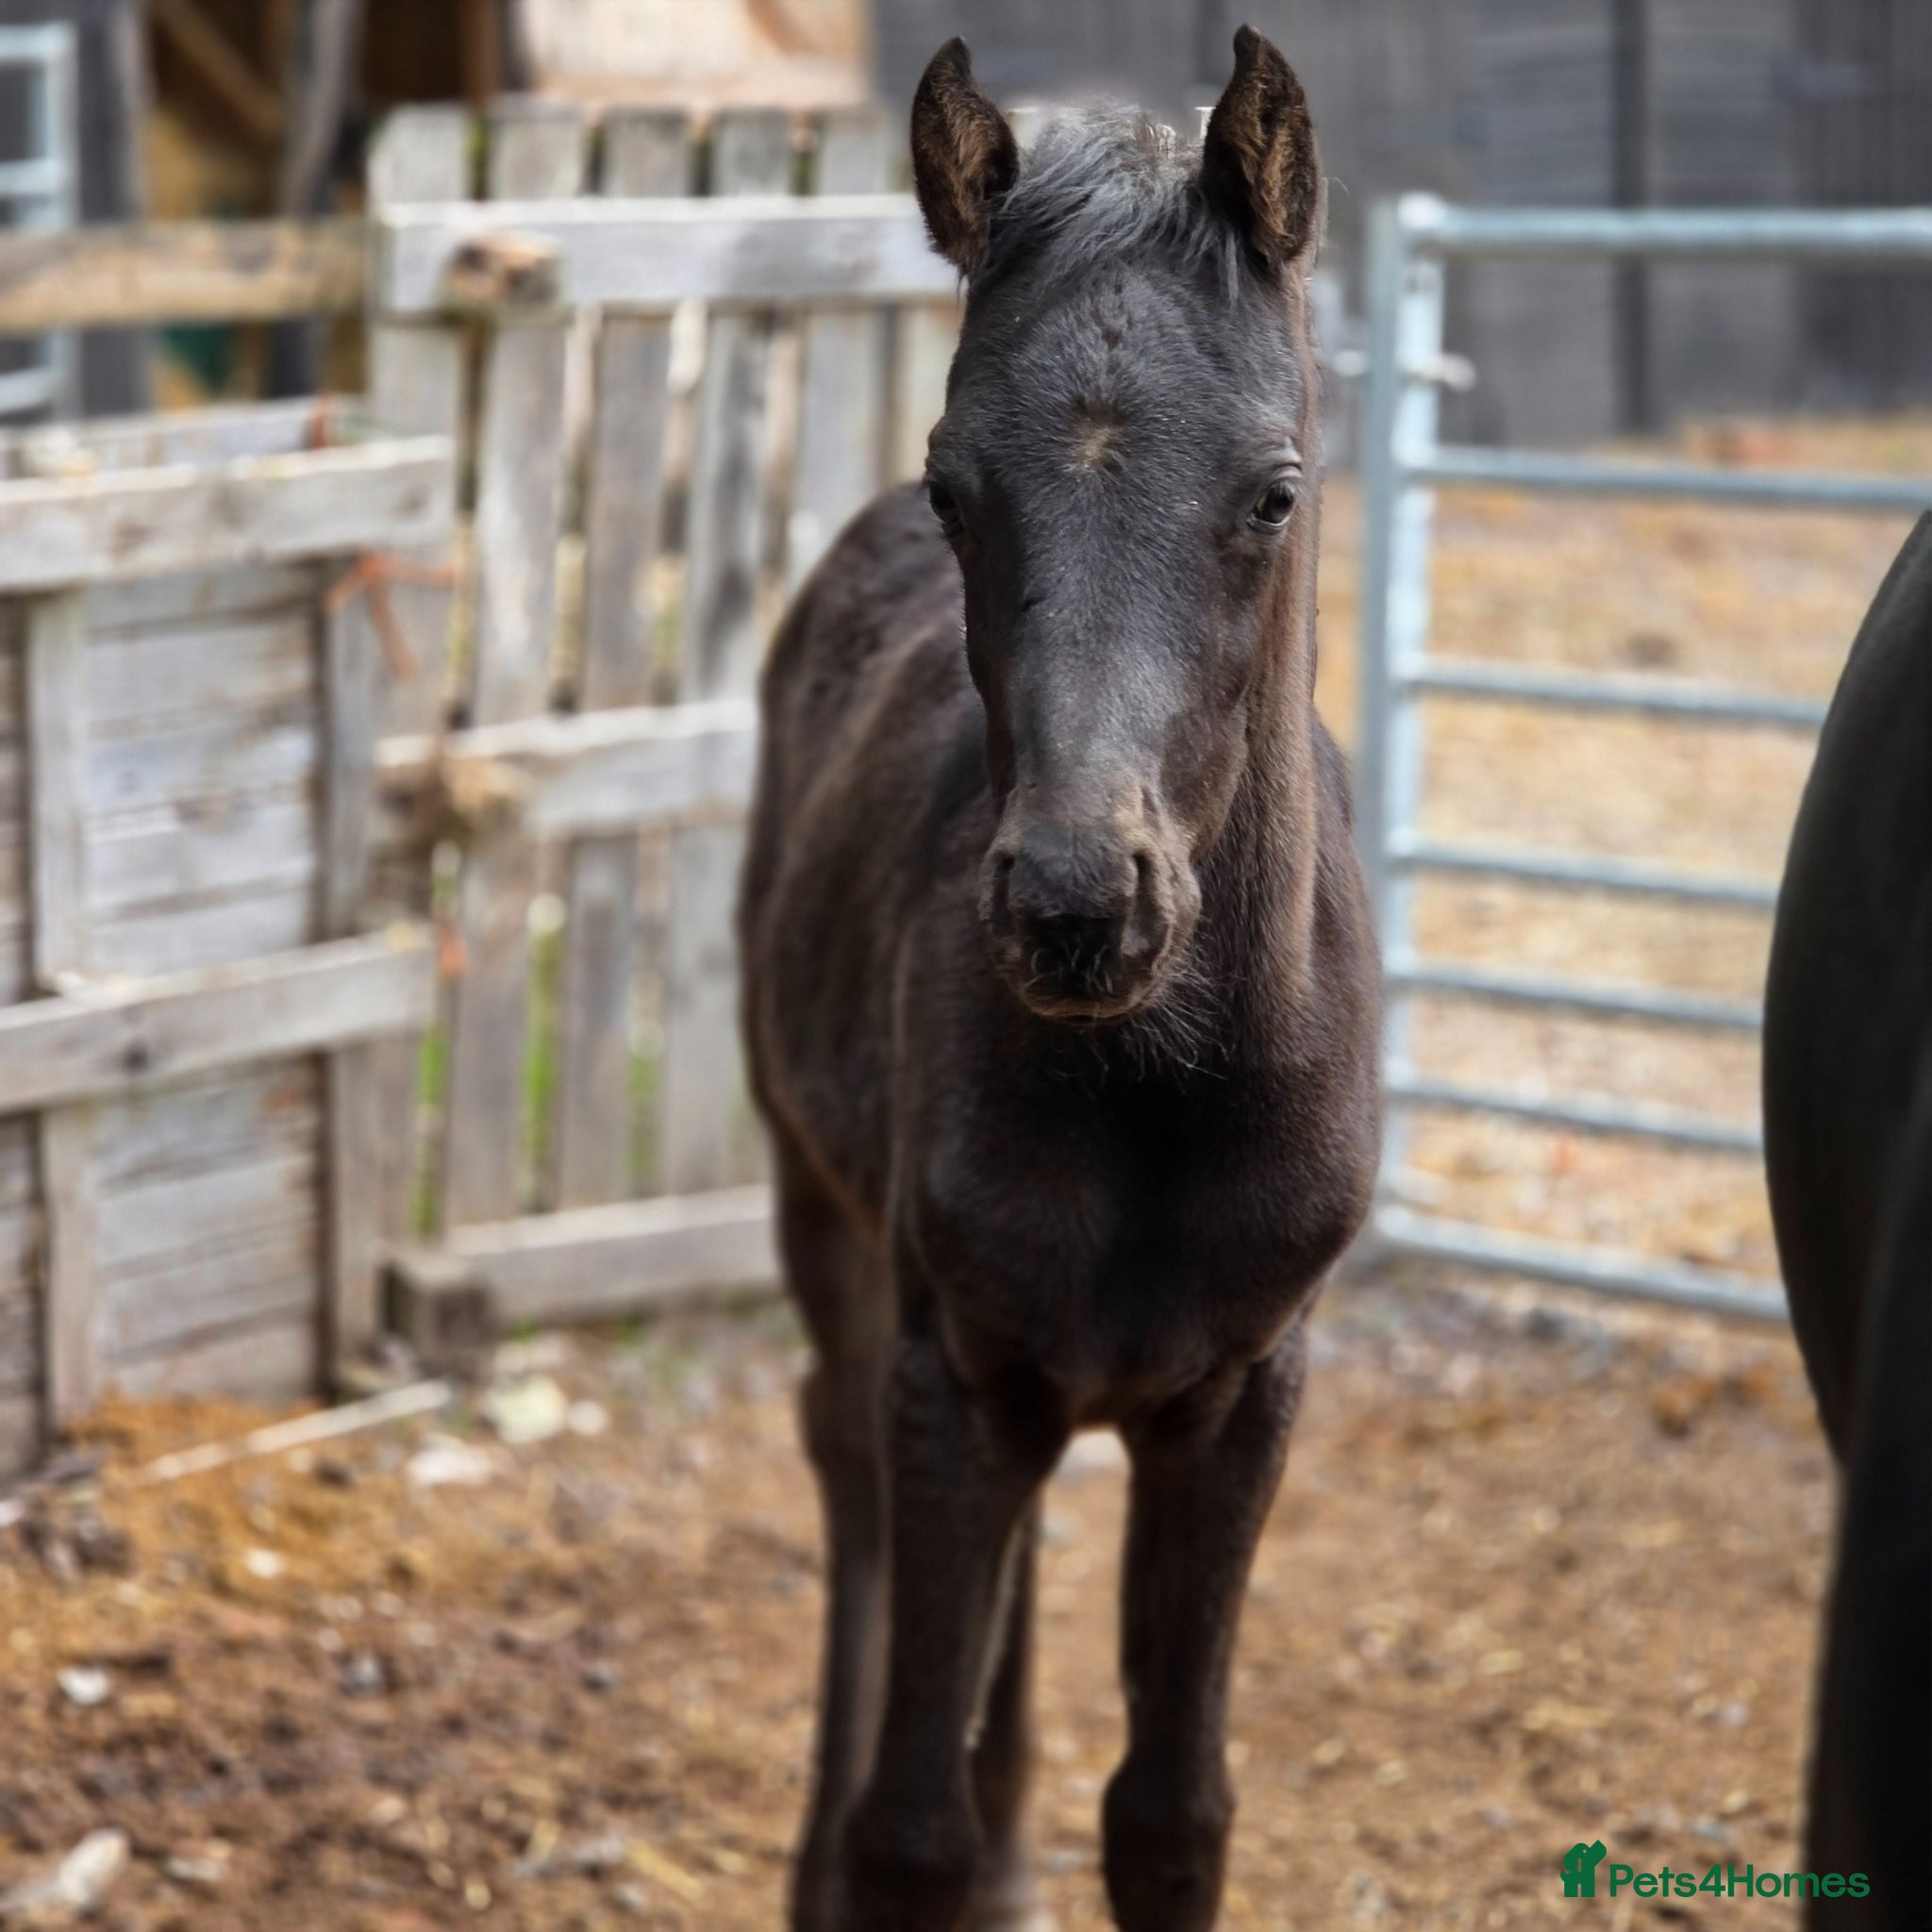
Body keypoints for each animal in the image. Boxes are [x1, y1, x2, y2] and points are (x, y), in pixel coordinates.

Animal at [740, 29, 1381, 1929]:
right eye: (958, 483)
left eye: (1273, 492)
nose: (1080, 907)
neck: (1160, 1090)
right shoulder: (952, 1379)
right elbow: (907, 1829)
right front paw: (884, 1855)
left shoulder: (1242, 1399)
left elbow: (1172, 1813)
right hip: (825, 1215)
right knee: (846, 1485)